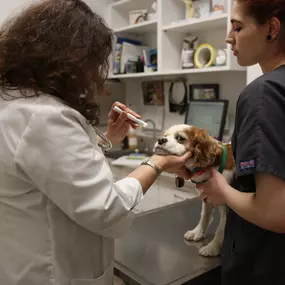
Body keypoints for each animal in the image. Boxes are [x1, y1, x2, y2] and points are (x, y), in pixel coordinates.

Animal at [154, 123, 234, 256]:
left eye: (180, 138)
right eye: (165, 135)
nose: (160, 139)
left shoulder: (228, 208)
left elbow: (221, 230)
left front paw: (212, 248)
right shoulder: (207, 197)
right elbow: (204, 216)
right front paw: (197, 232)